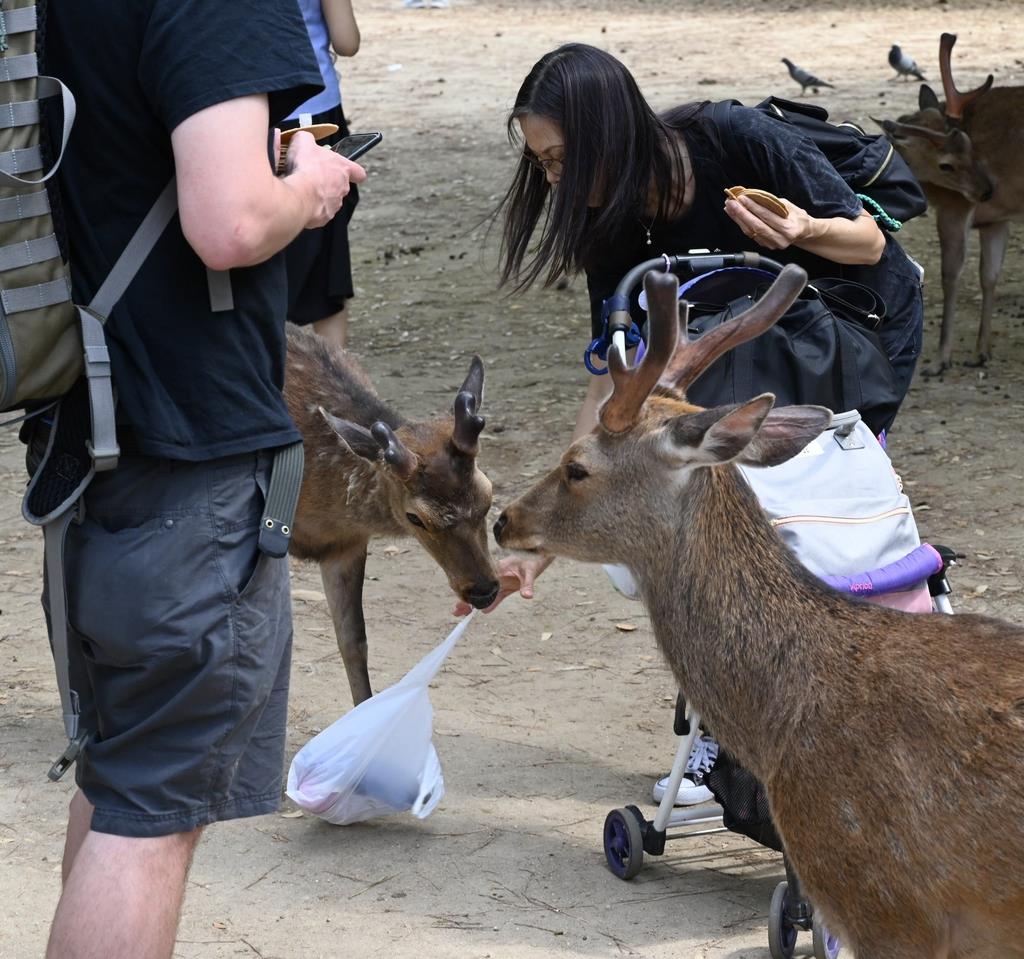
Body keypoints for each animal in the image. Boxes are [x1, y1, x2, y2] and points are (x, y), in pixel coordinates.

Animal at [872, 33, 1024, 372]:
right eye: (948, 163)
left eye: (966, 147)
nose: (988, 190)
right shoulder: (996, 219)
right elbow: (989, 275)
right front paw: (981, 352)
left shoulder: (955, 208)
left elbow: (949, 275)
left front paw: (940, 359)